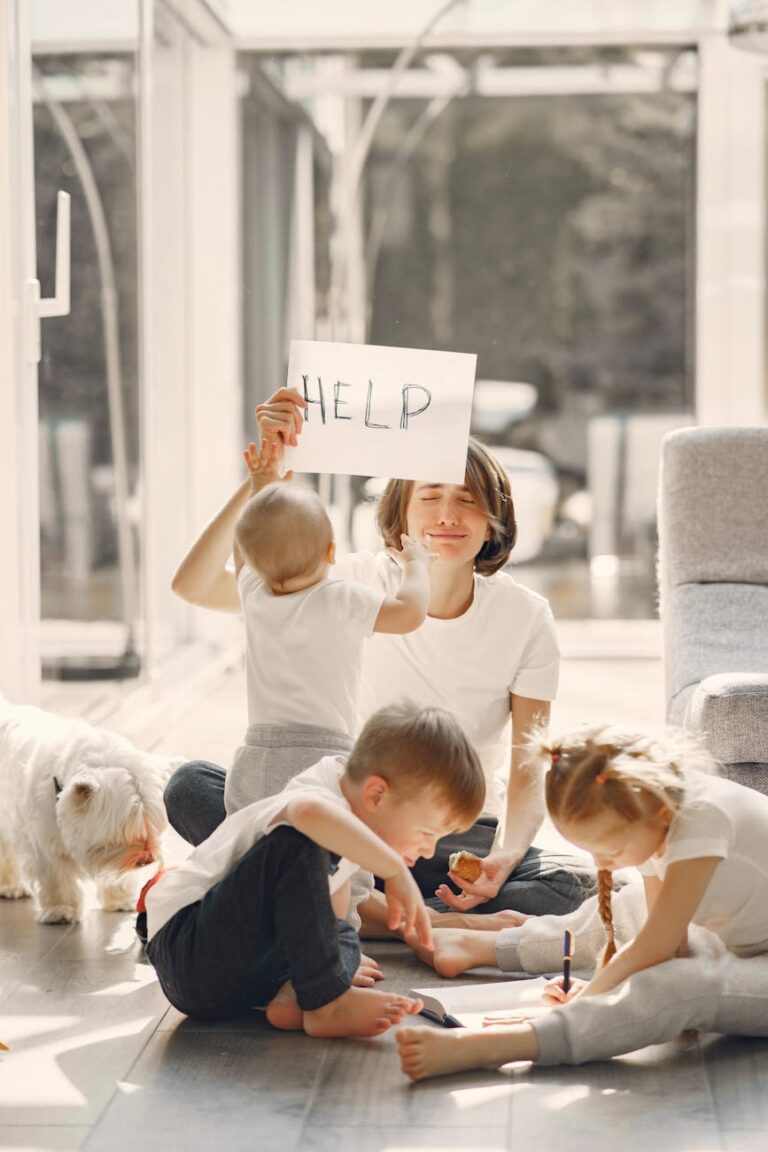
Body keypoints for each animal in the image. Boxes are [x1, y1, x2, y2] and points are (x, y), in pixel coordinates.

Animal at [0, 695, 181, 921]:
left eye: (154, 829)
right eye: (122, 834)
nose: (147, 860)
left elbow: (117, 874)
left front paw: (120, 900)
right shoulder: (45, 845)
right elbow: (57, 877)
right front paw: (62, 909)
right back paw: (10, 886)